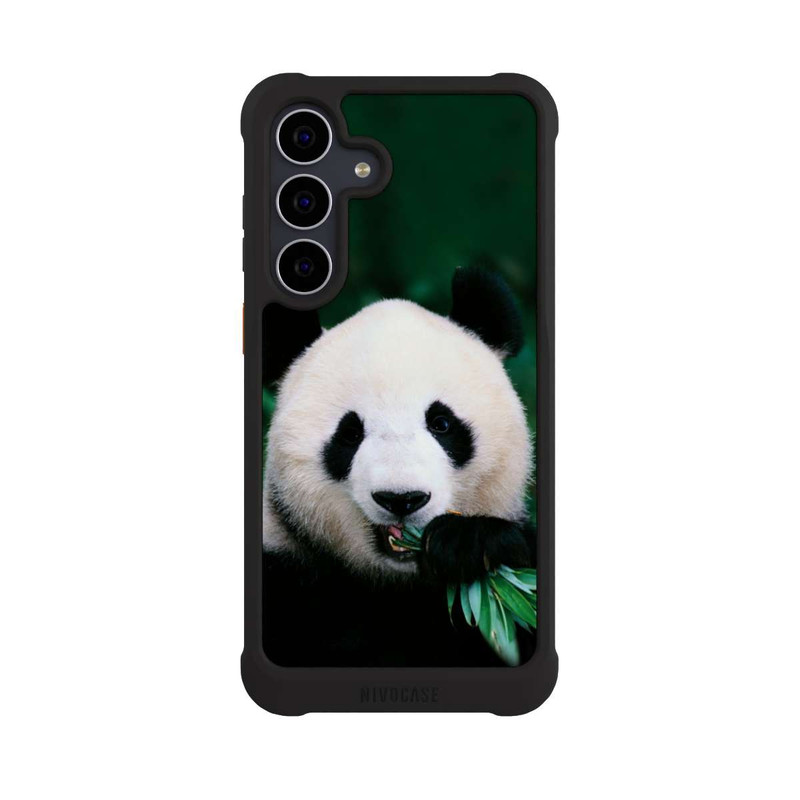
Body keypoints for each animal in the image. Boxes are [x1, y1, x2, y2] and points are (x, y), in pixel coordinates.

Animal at [261, 266, 536, 667]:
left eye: (441, 423)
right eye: (349, 434)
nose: (401, 499)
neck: (397, 585)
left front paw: (468, 543)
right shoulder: (287, 573)